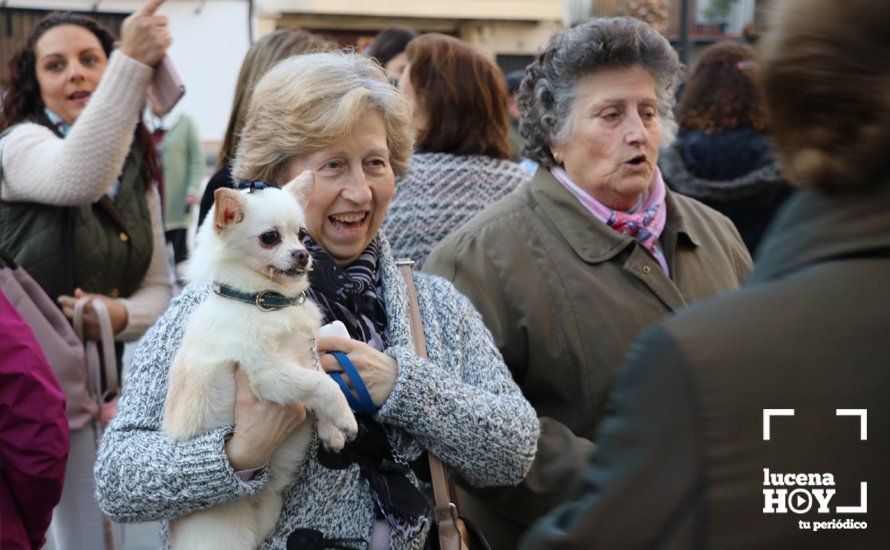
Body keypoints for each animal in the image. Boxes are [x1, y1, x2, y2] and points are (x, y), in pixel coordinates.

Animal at [161, 174, 356, 550]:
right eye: (270, 238)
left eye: (302, 234)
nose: (302, 254)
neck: (264, 301)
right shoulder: (269, 376)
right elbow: (323, 386)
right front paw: (346, 417)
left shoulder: (305, 355)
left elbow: (323, 380)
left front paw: (330, 431)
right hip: (223, 537)